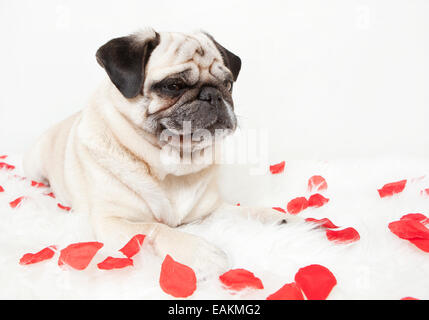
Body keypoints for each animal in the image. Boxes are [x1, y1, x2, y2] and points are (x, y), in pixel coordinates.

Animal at [22, 28, 284, 276]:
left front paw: (279, 218)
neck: (175, 163)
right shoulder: (112, 221)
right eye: (173, 86)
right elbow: (155, 228)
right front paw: (200, 252)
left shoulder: (211, 211)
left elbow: (244, 212)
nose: (214, 95)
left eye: (228, 84)